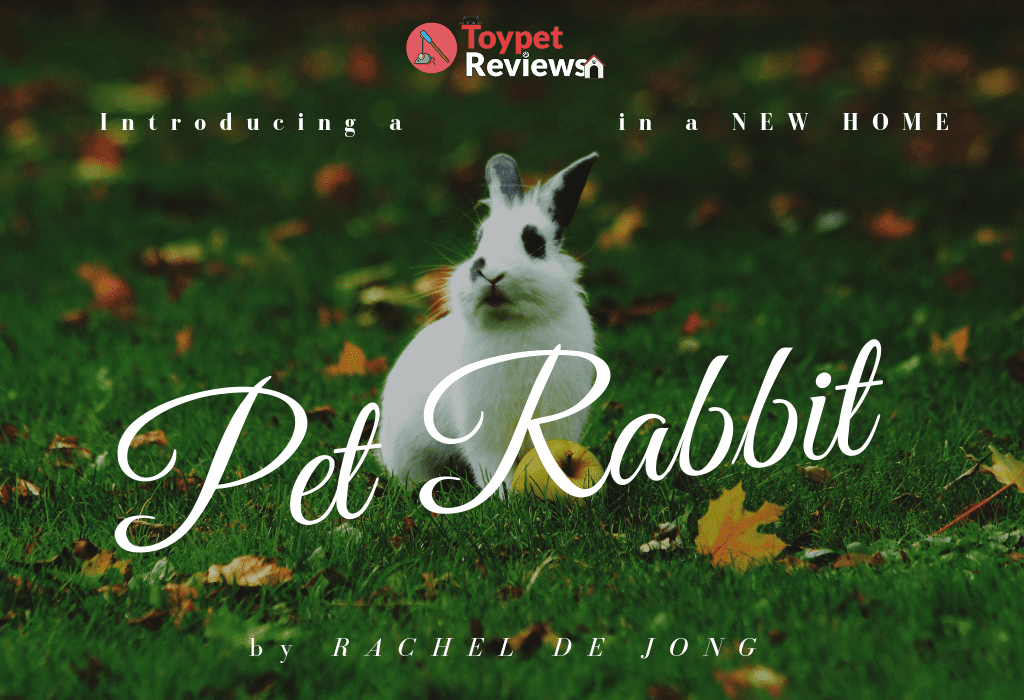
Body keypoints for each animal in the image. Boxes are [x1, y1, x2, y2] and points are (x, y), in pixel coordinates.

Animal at [379, 151, 599, 496]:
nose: (487, 272)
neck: (514, 324)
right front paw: (503, 496)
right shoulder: (485, 431)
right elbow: (491, 464)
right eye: (479, 239)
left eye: (535, 243)